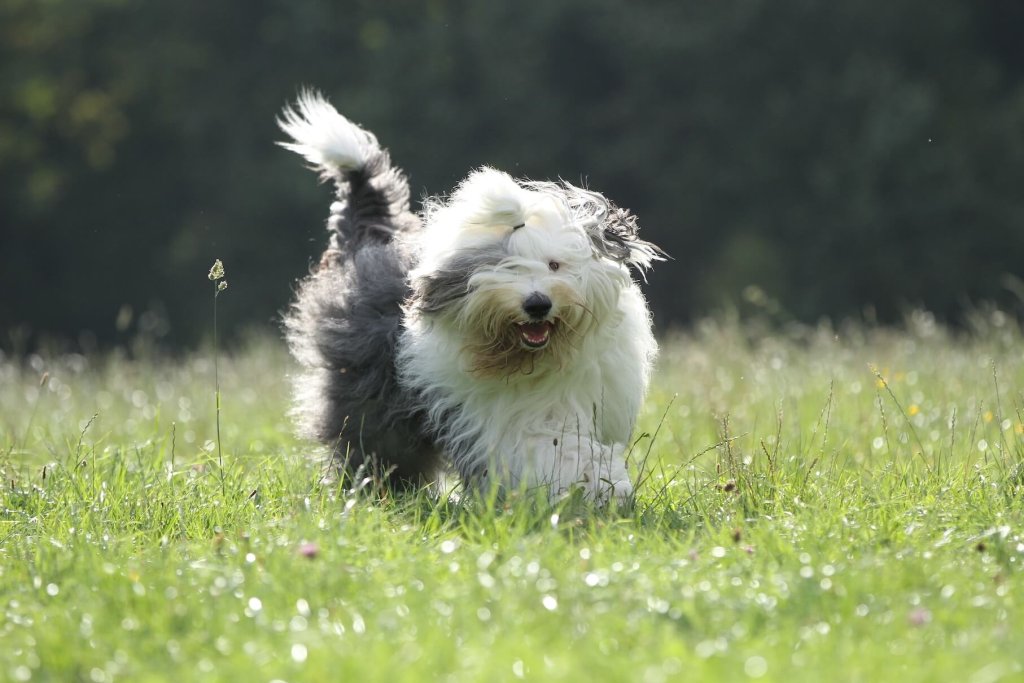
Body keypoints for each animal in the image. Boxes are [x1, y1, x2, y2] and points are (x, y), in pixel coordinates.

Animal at [280, 90, 663, 501]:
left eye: (554, 265)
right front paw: (599, 486)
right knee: (375, 442)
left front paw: (607, 487)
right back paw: (379, 491)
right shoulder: (503, 419)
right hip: (368, 388)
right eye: (501, 267)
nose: (537, 304)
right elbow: (554, 449)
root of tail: (367, 241)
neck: (529, 361)